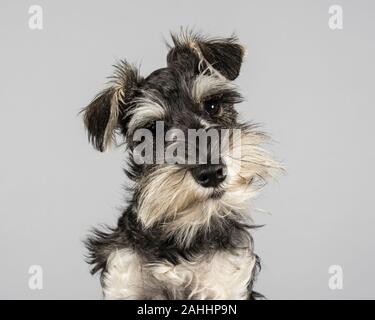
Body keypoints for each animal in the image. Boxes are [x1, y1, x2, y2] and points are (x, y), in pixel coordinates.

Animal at [82, 30, 282, 300]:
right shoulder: (123, 277)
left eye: (212, 105)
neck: (181, 234)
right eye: (152, 129)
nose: (211, 173)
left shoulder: (225, 282)